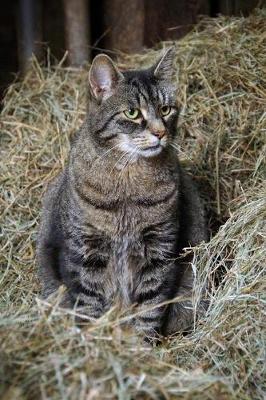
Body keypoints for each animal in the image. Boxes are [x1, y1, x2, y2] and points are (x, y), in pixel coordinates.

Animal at [37, 48, 208, 340]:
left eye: (165, 109)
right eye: (132, 113)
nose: (160, 132)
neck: (129, 176)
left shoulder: (159, 249)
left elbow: (150, 305)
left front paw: (142, 344)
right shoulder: (85, 251)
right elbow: (89, 302)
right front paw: (94, 341)